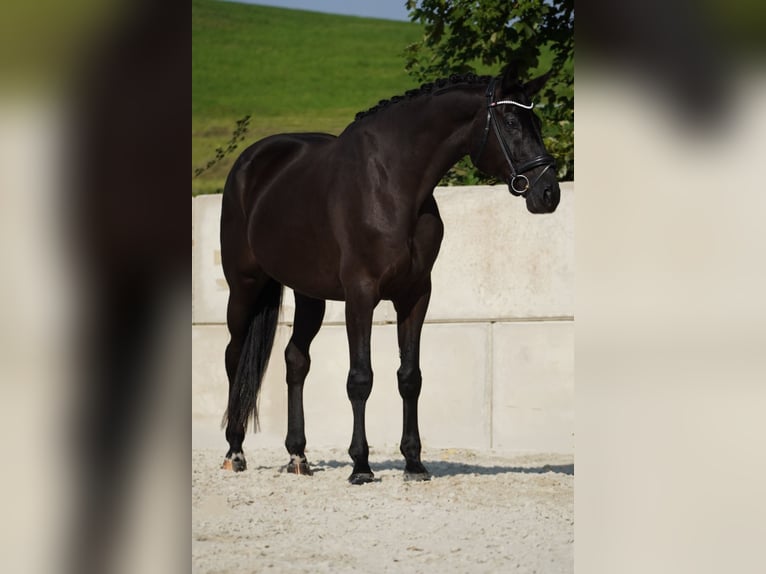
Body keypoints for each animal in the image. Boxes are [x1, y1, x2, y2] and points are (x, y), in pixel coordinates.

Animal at [219, 66, 560, 486]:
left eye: (538, 123)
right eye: (511, 121)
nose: (549, 193)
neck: (393, 184)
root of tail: (249, 163)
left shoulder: (415, 295)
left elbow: (410, 376)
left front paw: (414, 463)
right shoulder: (360, 294)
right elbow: (360, 378)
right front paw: (361, 465)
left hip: (309, 294)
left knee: (295, 359)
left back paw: (298, 455)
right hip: (244, 285)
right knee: (234, 356)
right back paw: (234, 451)